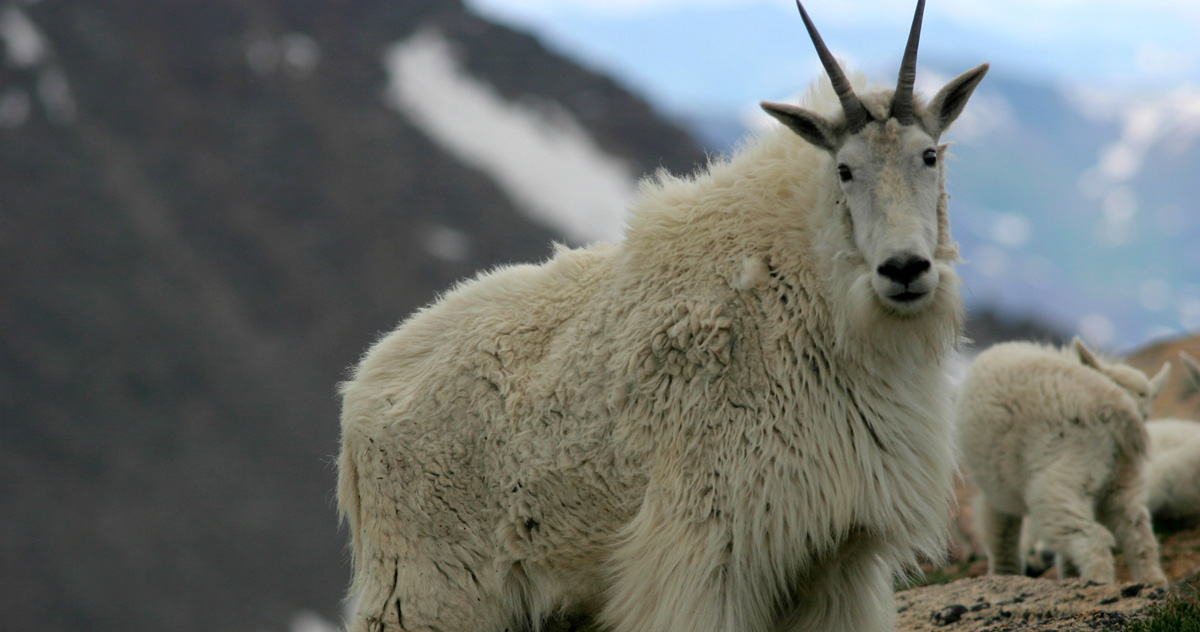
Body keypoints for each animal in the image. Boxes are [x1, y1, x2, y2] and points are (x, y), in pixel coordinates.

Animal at [336, 2, 984, 628]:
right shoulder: (704, 546)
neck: (812, 299)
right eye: (845, 170)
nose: (904, 269)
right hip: (427, 590)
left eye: (929, 155)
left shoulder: (834, 558)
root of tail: (359, 397)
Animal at [960, 338, 1166, 585]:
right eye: (1146, 413)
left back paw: (1097, 582)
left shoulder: (997, 488)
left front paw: (1002, 575)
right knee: (1137, 531)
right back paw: (1154, 583)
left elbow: (1001, 534)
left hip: (1064, 474)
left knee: (1090, 536)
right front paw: (1070, 576)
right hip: (1123, 477)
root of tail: (1114, 406)